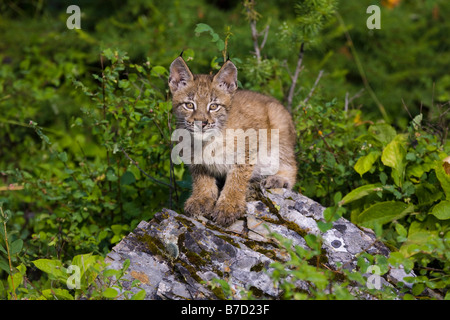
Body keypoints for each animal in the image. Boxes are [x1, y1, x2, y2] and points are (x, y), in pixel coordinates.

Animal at [168, 56, 296, 226]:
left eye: (213, 106)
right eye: (189, 105)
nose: (201, 123)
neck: (208, 140)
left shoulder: (247, 148)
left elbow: (237, 179)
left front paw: (229, 206)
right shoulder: (192, 154)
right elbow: (201, 178)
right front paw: (201, 199)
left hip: (278, 126)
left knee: (291, 163)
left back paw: (279, 178)